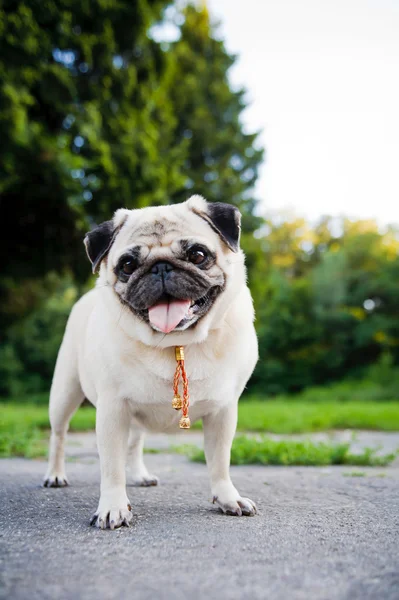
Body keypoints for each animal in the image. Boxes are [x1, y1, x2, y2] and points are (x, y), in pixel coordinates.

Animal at [43, 195, 260, 528]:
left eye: (198, 255)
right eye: (128, 265)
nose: (160, 267)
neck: (174, 343)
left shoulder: (223, 411)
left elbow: (220, 461)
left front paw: (227, 497)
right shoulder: (112, 409)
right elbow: (111, 467)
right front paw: (113, 507)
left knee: (134, 444)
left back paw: (140, 476)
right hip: (64, 394)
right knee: (59, 435)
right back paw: (55, 475)